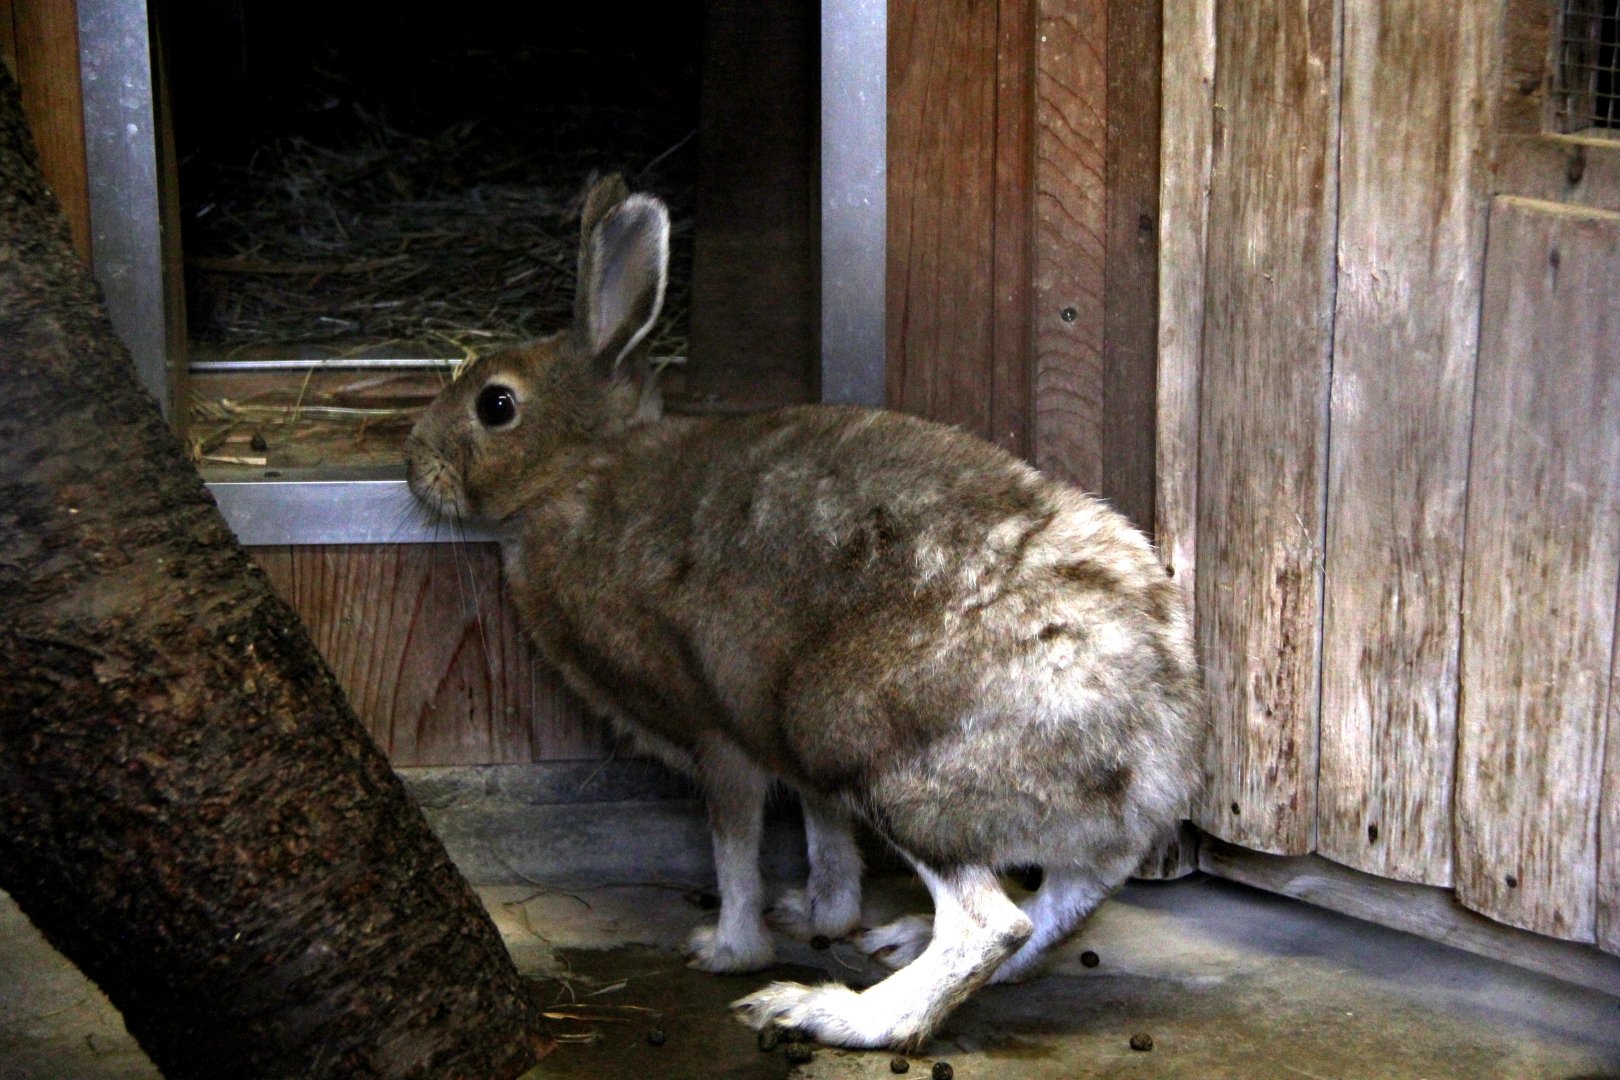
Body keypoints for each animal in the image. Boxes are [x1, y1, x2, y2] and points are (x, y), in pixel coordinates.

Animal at [403, 174, 1203, 1051]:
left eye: (496, 405)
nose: (413, 462)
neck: (581, 471)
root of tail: (1158, 741)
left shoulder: (718, 732)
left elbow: (734, 846)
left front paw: (727, 948)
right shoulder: (780, 740)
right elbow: (825, 836)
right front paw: (821, 913)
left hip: (877, 759)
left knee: (991, 926)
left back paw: (831, 1012)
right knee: (1064, 902)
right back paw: (899, 943)